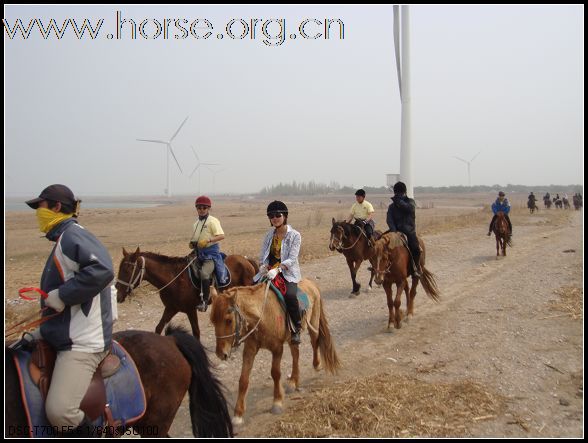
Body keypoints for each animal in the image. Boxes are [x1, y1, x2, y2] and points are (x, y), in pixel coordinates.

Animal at [115, 248, 258, 338]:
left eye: (127, 270)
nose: (117, 295)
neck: (174, 279)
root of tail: (246, 260)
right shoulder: (171, 308)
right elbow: (158, 328)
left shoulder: (191, 310)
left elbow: (196, 332)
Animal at [210, 280, 340, 426]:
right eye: (213, 320)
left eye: (229, 320)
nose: (221, 353)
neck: (263, 314)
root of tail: (311, 283)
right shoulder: (250, 349)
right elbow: (243, 379)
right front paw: (238, 414)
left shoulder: (277, 348)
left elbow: (275, 373)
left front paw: (277, 402)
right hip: (292, 337)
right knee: (296, 354)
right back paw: (293, 381)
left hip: (313, 323)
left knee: (314, 342)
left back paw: (317, 365)